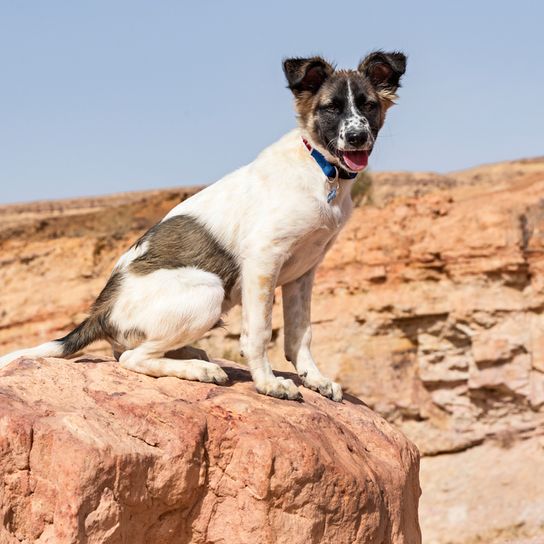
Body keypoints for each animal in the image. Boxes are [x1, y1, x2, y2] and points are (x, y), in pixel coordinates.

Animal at [0, 52, 406, 400]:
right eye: (331, 108)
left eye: (368, 105)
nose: (356, 137)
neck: (321, 172)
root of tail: (102, 311)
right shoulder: (263, 260)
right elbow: (258, 333)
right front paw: (269, 384)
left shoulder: (304, 271)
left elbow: (300, 335)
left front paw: (315, 379)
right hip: (208, 289)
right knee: (132, 358)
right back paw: (199, 369)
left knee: (132, 351)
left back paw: (191, 355)